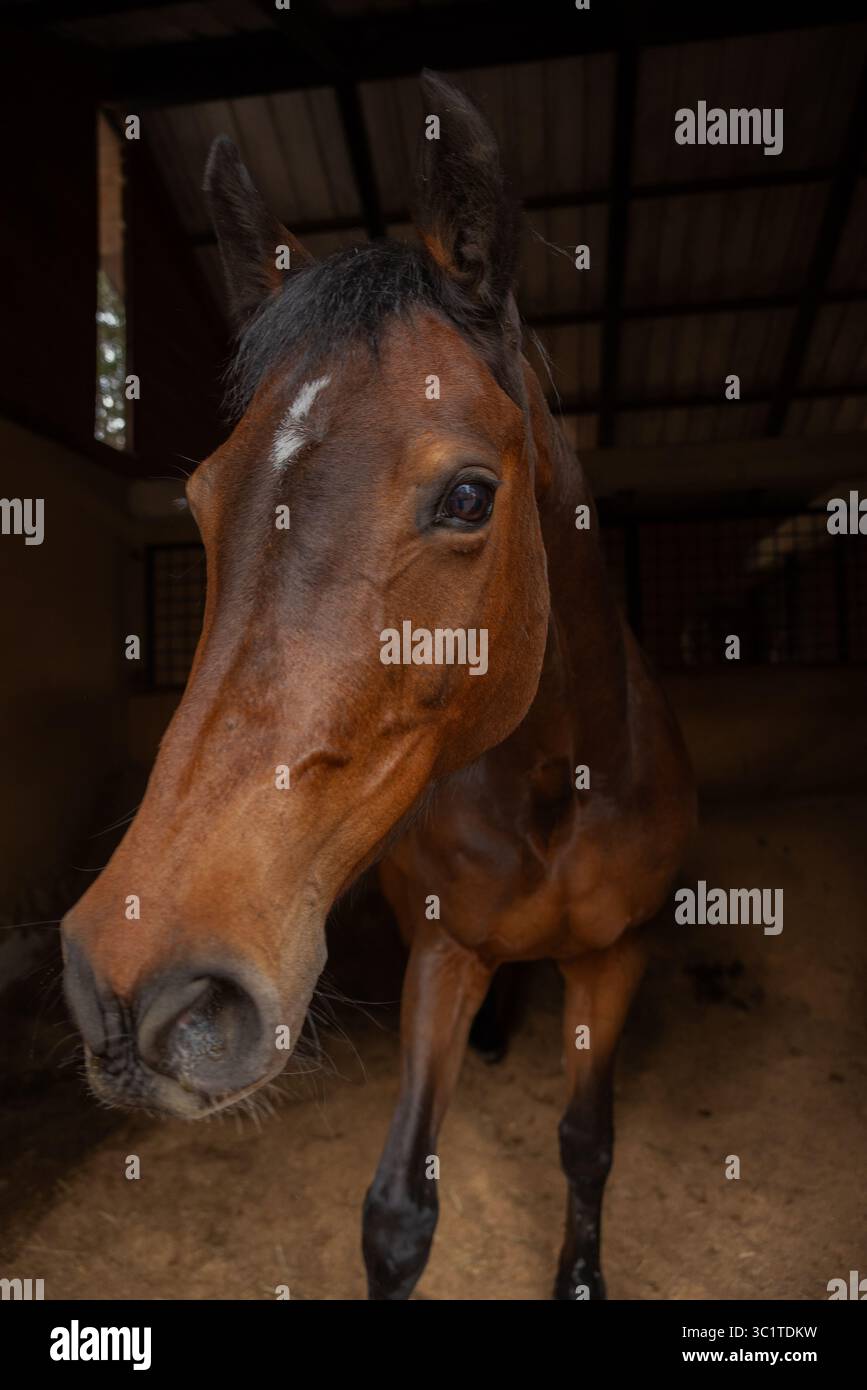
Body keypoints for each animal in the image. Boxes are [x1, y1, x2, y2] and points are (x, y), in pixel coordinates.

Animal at [62, 71, 695, 1300]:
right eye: (202, 502)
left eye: (468, 496)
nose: (133, 989)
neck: (556, 782)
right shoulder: (440, 958)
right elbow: (399, 1210)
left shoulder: (616, 960)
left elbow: (586, 1141)